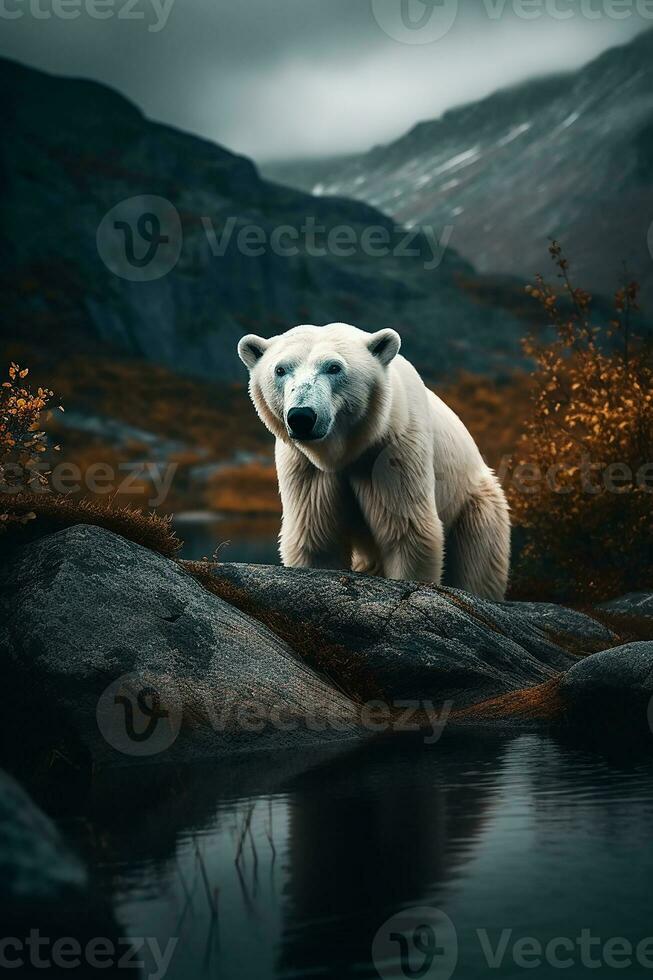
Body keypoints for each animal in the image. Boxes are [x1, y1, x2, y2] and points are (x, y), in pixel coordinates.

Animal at [236, 322, 510, 596]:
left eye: (334, 367)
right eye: (280, 369)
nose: (302, 417)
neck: (349, 450)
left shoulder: (394, 451)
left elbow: (408, 531)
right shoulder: (306, 466)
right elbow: (316, 537)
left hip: (475, 506)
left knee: (477, 564)